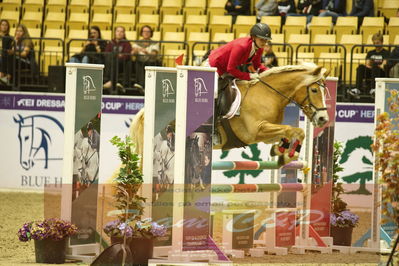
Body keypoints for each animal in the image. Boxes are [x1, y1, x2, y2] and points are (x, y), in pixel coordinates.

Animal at [130, 63, 330, 165]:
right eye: (314, 90)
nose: (323, 119)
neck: (269, 94)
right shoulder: (256, 131)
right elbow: (294, 130)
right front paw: (286, 153)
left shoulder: (266, 134)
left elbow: (293, 131)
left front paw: (282, 151)